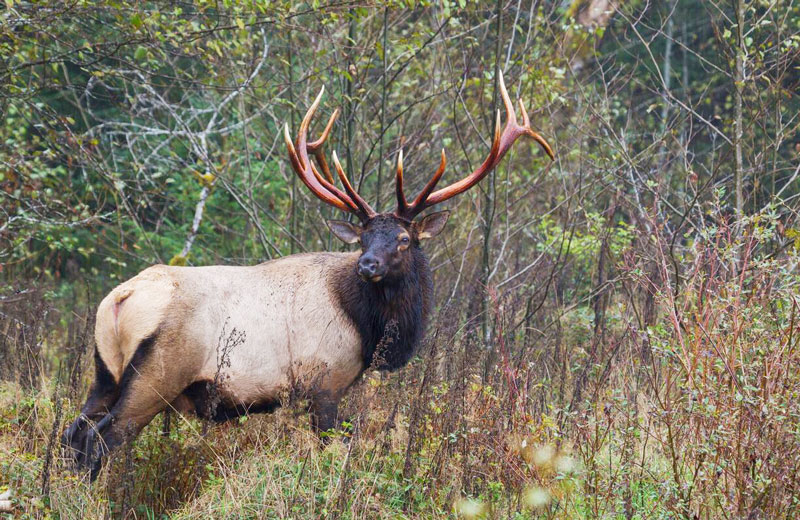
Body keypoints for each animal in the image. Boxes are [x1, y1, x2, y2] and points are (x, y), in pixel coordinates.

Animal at [62, 73, 552, 480]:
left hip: (104, 371)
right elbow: (339, 449)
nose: (367, 265)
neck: (369, 329)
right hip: (155, 376)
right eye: (363, 238)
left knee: (72, 433)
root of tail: (119, 299)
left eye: (402, 240)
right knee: (101, 439)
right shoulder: (324, 382)